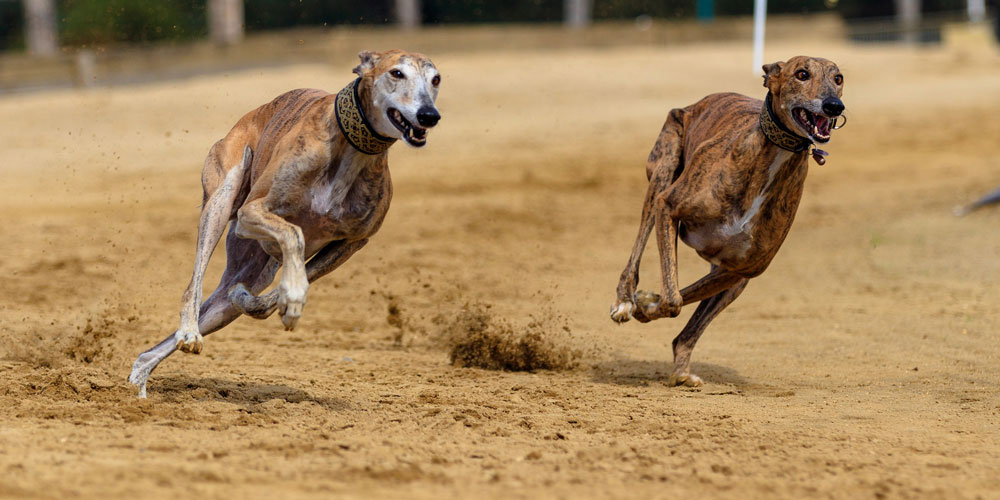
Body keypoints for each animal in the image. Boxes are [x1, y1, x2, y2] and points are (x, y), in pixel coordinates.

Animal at [129, 48, 442, 396]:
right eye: (397, 73)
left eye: (436, 79)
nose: (429, 115)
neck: (351, 151)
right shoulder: (252, 212)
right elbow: (294, 234)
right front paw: (292, 294)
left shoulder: (352, 243)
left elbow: (278, 291)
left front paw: (279, 299)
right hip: (223, 199)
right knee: (193, 285)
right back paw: (189, 332)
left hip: (249, 271)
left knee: (216, 303)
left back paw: (141, 375)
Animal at [608, 57, 844, 386]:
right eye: (802, 74)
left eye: (838, 78)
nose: (834, 105)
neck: (772, 157)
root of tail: (697, 103)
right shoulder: (668, 206)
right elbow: (673, 299)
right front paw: (640, 302)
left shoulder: (742, 269)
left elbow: (678, 297)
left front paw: (647, 304)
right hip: (663, 169)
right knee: (639, 244)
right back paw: (624, 300)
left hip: (733, 278)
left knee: (687, 331)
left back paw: (682, 372)